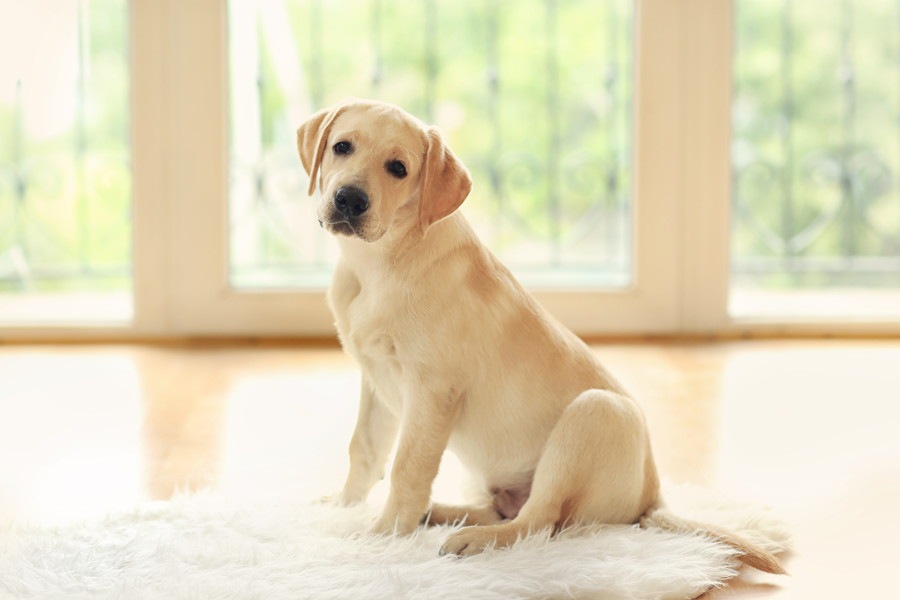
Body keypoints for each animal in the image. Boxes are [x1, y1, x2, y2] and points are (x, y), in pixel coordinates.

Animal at [298, 101, 788, 576]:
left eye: (398, 168)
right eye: (342, 147)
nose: (349, 199)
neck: (377, 264)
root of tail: (652, 498)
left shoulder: (433, 389)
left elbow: (407, 467)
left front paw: (380, 536)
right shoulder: (375, 379)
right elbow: (363, 449)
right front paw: (343, 507)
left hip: (595, 414)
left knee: (536, 523)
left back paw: (468, 538)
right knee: (505, 510)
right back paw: (439, 515)